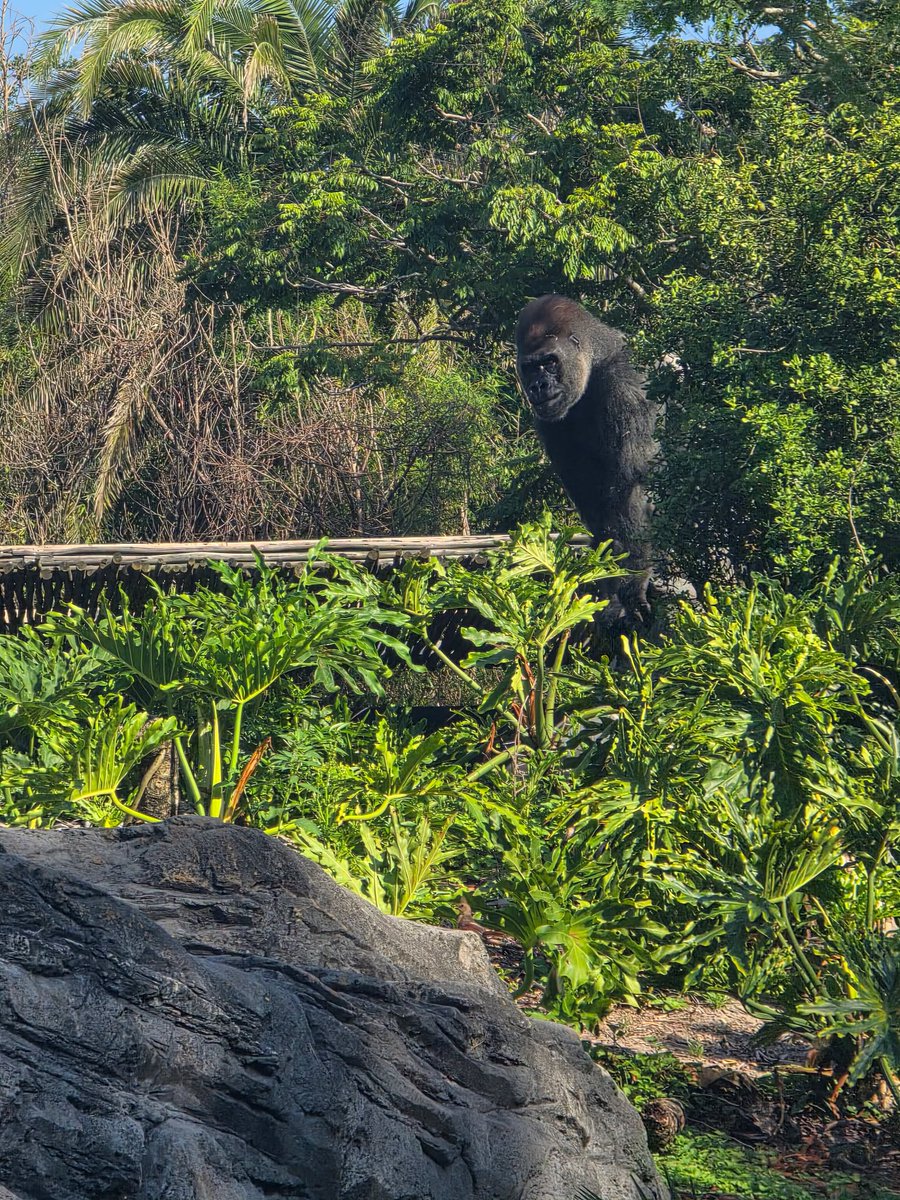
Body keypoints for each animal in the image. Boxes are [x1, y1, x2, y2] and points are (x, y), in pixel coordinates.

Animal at [515, 294, 659, 626]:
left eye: (550, 362)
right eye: (530, 368)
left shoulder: (628, 386)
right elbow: (596, 506)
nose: (538, 386)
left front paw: (633, 584)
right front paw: (610, 589)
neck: (597, 361)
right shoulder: (550, 420)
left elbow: (630, 489)